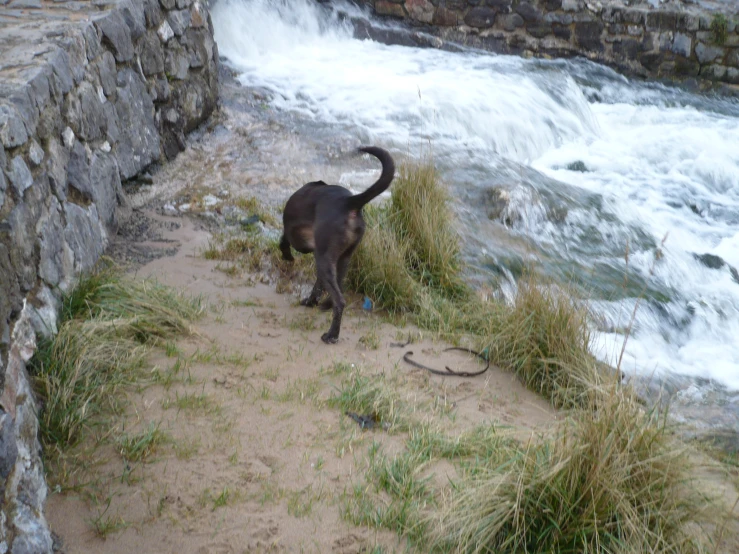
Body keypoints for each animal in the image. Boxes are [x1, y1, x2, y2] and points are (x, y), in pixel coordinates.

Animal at [280, 149, 396, 342]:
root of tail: (349, 202)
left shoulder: (296, 236)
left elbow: (283, 241)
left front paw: (287, 256)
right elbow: (318, 285)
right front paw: (312, 301)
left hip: (324, 258)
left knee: (340, 300)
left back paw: (331, 334)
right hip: (343, 257)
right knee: (338, 287)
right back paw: (325, 305)